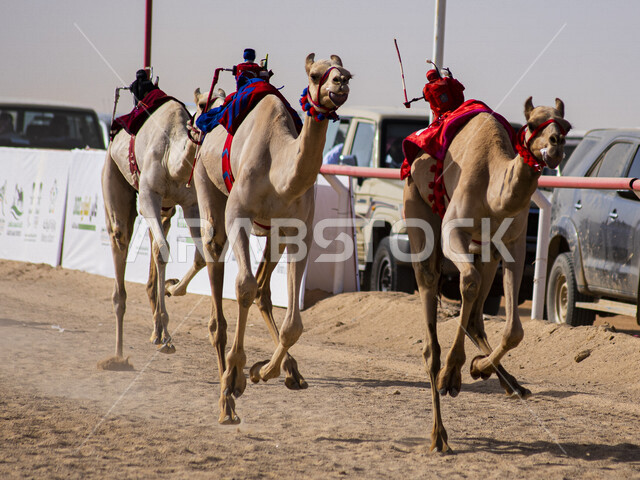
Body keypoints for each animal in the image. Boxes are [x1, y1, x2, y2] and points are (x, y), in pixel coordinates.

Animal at [100, 88, 225, 367]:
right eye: (204, 103)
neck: (173, 162)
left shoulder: (191, 204)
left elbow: (201, 255)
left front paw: (171, 290)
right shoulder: (148, 197)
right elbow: (165, 249)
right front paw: (166, 336)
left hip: (166, 210)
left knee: (155, 246)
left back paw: (154, 329)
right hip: (112, 174)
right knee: (120, 238)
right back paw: (119, 353)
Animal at [192, 53, 351, 423]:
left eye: (346, 72)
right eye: (315, 74)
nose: (340, 83)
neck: (279, 172)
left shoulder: (300, 231)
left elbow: (294, 323)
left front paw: (261, 371)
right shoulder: (238, 213)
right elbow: (243, 287)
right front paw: (234, 378)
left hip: (274, 232)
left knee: (264, 290)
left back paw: (290, 372)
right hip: (205, 183)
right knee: (216, 258)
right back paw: (226, 401)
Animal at [403, 97, 570, 452]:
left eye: (565, 124)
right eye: (532, 123)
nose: (556, 144)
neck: (494, 193)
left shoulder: (513, 244)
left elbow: (514, 330)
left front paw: (477, 368)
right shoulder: (454, 229)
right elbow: (467, 282)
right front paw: (452, 376)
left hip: (487, 253)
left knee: (477, 315)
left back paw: (510, 384)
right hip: (418, 211)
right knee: (431, 329)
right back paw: (439, 434)